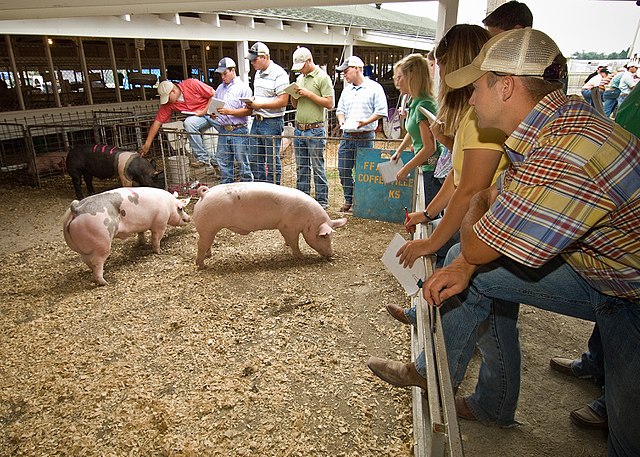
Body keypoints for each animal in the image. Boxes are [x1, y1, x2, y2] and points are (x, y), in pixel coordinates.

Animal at [63, 186, 191, 284]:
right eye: (180, 208)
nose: (189, 218)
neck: (169, 205)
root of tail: (76, 209)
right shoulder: (160, 223)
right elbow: (156, 238)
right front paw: (160, 252)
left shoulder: (141, 225)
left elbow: (141, 234)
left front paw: (141, 244)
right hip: (101, 241)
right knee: (96, 261)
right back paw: (104, 282)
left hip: (83, 248)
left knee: (86, 260)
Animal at [192, 181, 348, 268]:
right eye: (324, 236)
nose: (331, 254)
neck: (309, 219)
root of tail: (205, 194)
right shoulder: (287, 226)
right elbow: (294, 242)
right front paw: (301, 257)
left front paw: (286, 246)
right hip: (207, 227)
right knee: (201, 244)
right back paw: (202, 266)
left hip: (209, 229)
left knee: (208, 243)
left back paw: (209, 256)